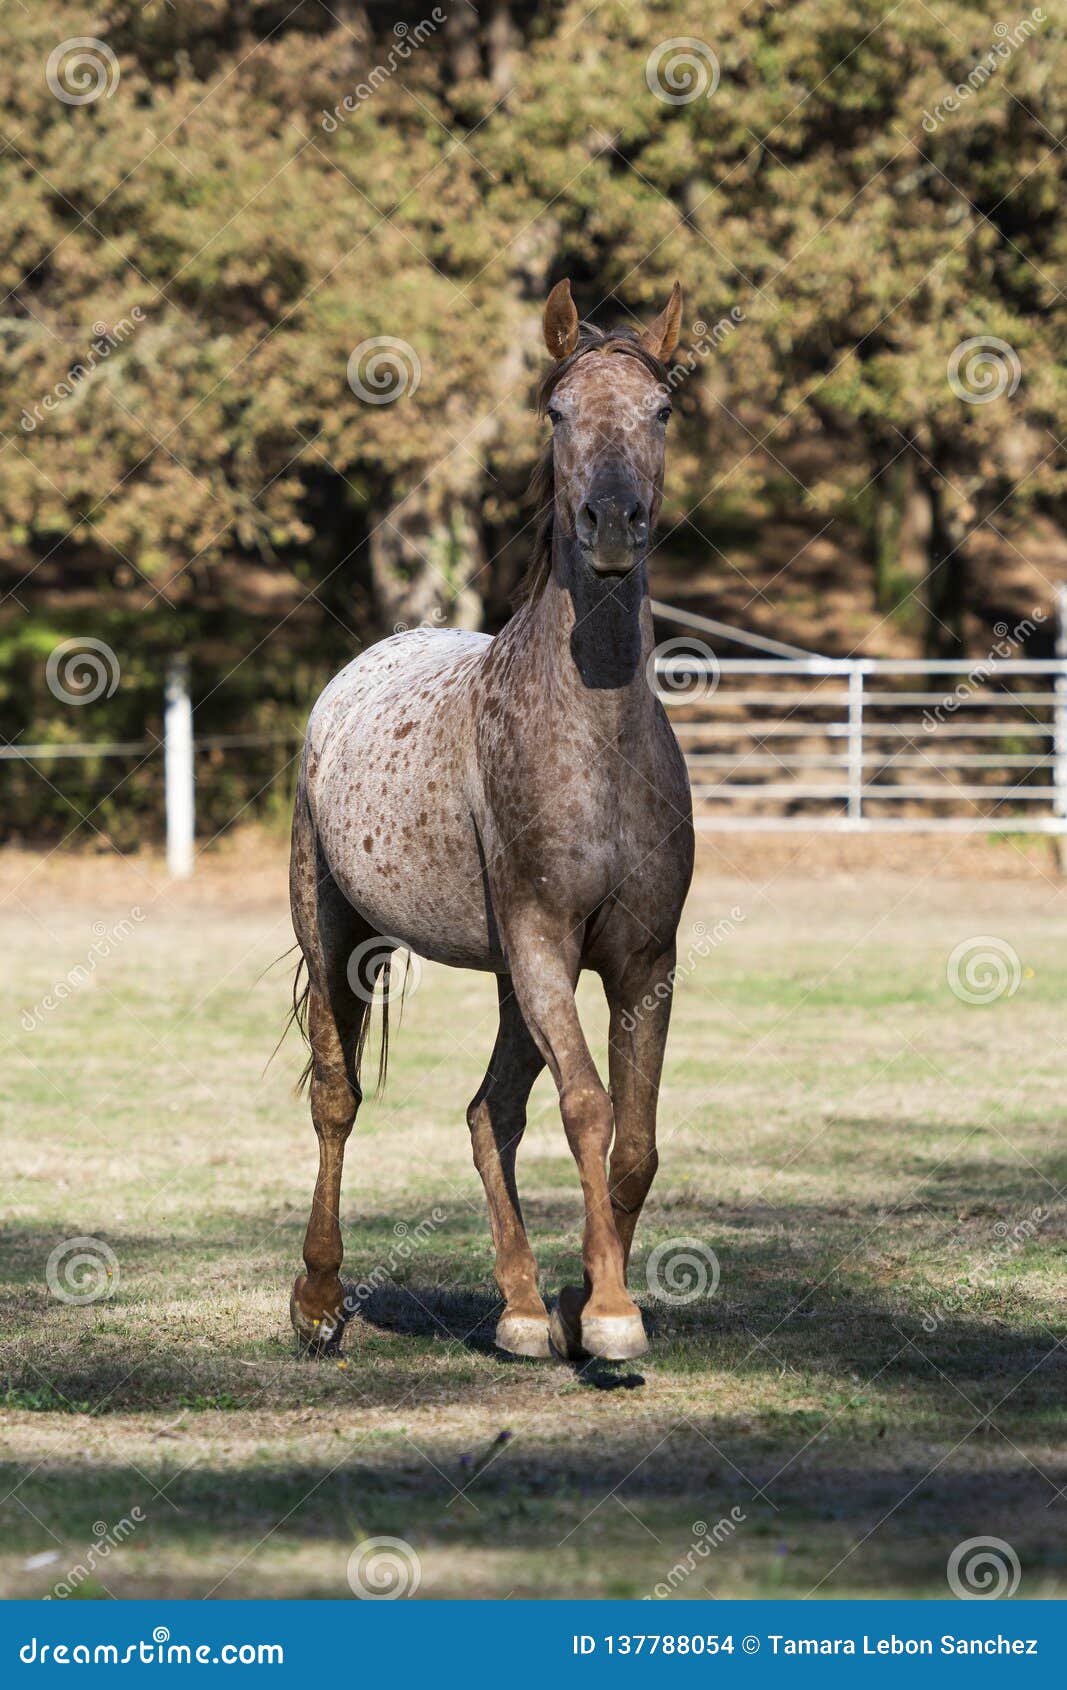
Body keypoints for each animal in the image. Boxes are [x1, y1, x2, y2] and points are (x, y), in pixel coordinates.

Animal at [290, 277, 693, 1358]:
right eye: (555, 411)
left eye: (660, 410)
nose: (610, 522)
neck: (594, 745)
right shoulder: (546, 943)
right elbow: (589, 1108)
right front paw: (608, 1312)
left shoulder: (643, 957)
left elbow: (635, 1140)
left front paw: (587, 1298)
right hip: (335, 930)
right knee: (337, 1095)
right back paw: (317, 1301)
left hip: (509, 979)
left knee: (487, 1112)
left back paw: (517, 1308)